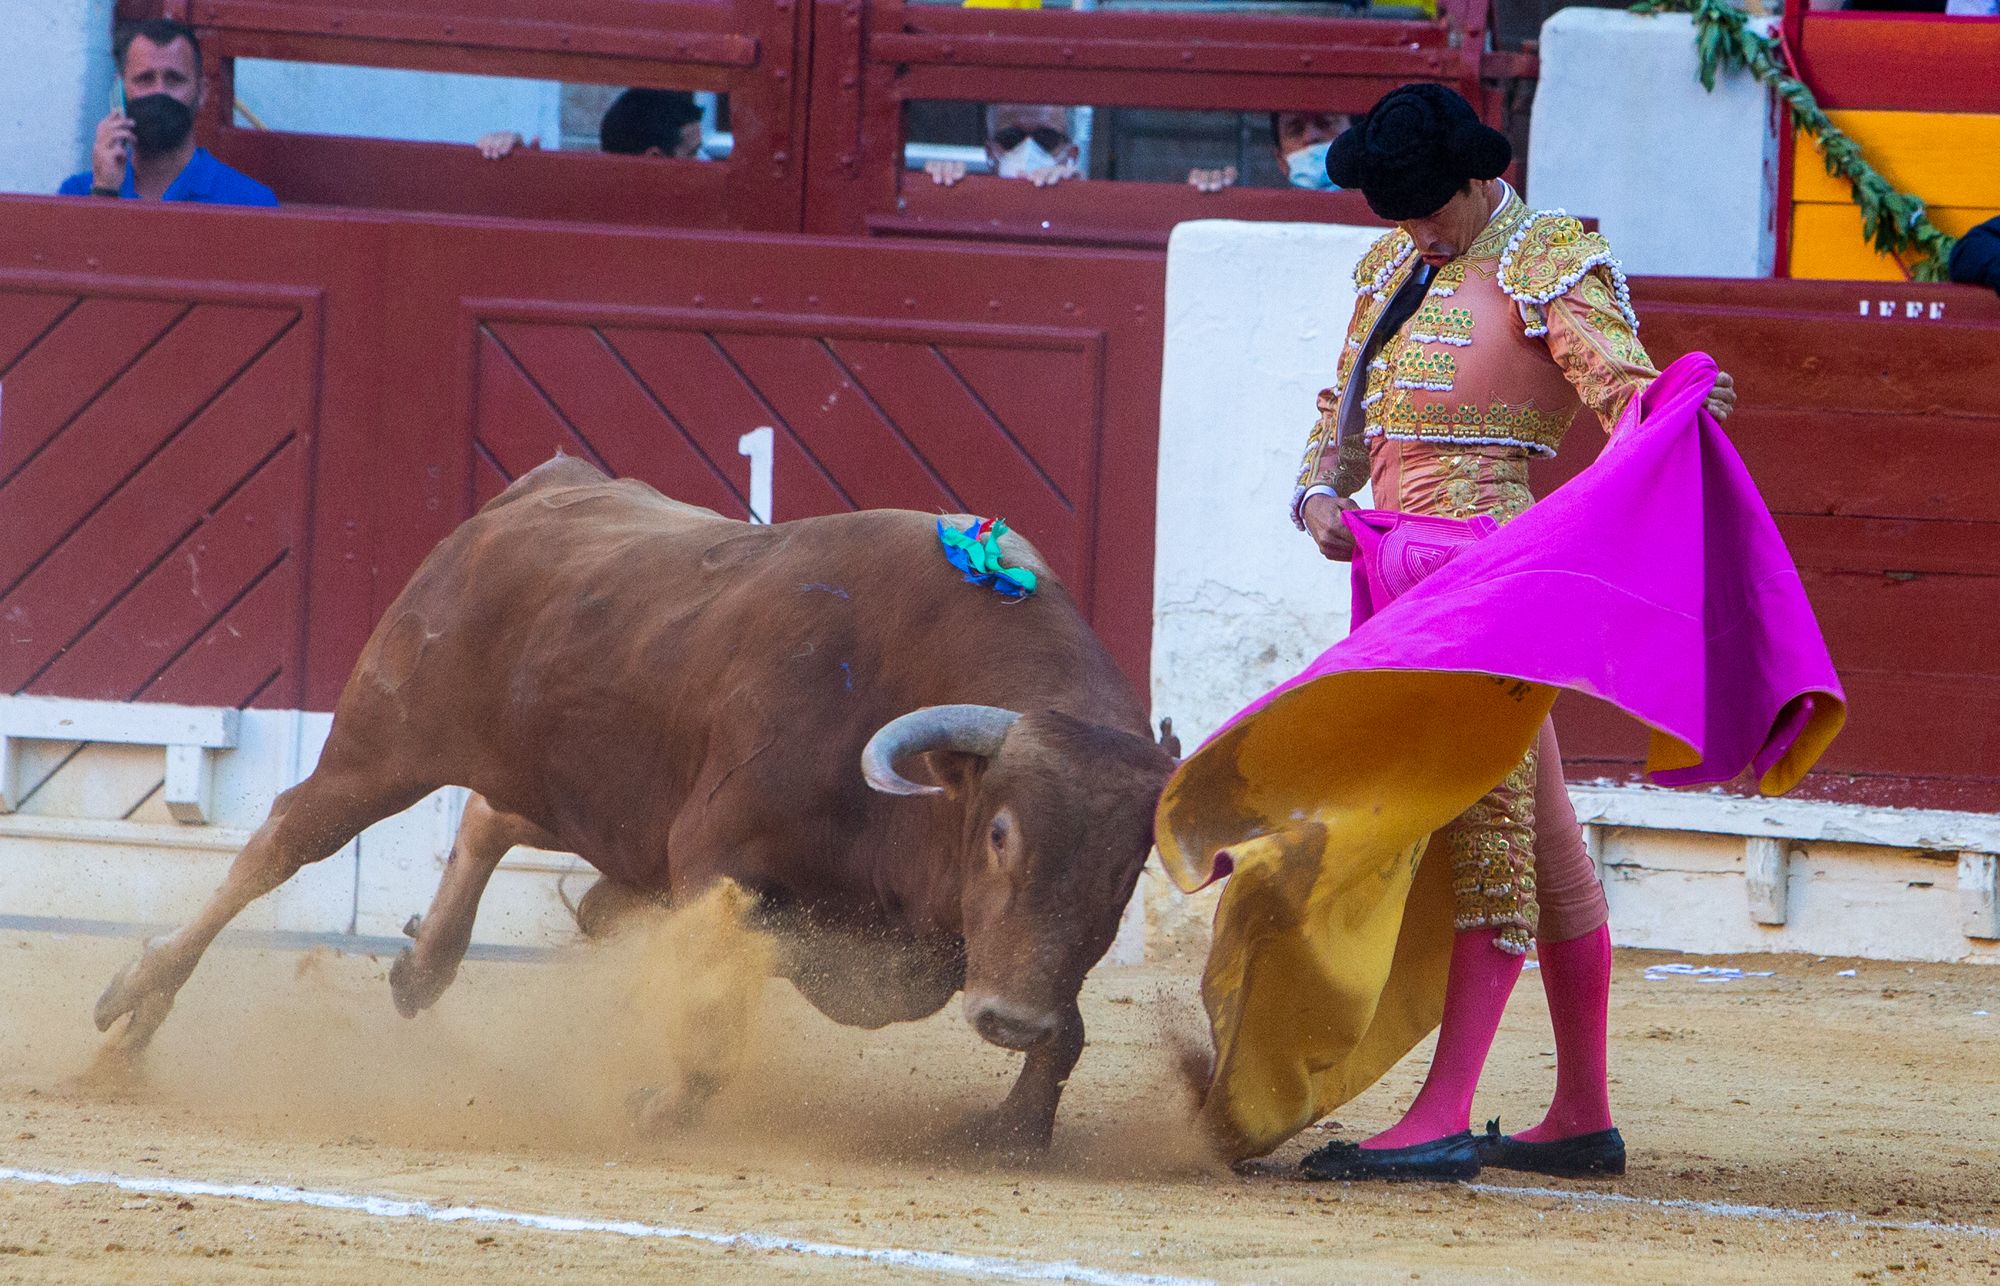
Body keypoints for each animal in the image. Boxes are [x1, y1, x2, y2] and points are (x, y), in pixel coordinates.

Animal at [97, 460, 1168, 1144]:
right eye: (1000, 832)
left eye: (1126, 870)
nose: (1009, 1020)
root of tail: (538, 490)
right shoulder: (713, 861)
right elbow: (716, 995)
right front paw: (663, 1106)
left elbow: (1066, 1026)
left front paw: (1013, 1124)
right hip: (381, 746)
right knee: (280, 841)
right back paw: (136, 1010)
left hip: (574, 781)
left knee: (493, 815)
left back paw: (427, 964)